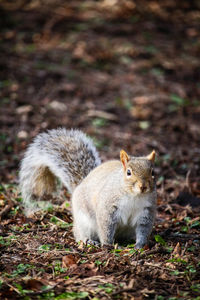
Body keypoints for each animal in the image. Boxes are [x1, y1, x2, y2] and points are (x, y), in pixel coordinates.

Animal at [19, 128, 156, 248]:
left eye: (153, 172)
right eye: (128, 172)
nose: (143, 186)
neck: (134, 196)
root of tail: (80, 185)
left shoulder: (146, 211)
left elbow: (143, 230)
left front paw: (140, 245)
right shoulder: (108, 206)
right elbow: (106, 227)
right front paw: (108, 244)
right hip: (84, 221)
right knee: (79, 234)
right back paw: (89, 241)